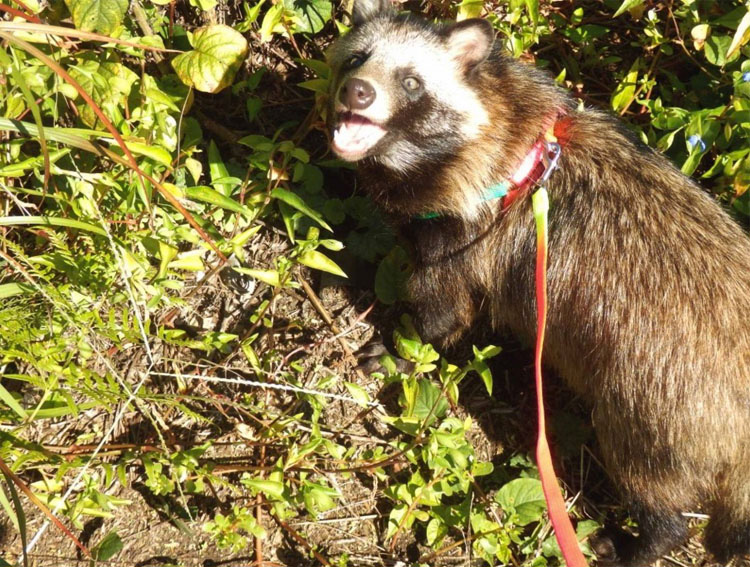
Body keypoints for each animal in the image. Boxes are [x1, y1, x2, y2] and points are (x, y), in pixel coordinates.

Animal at [332, 2, 750, 564]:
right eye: (357, 57)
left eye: (412, 82)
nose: (357, 91)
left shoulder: (466, 239)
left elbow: (442, 315)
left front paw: (402, 348)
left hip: (657, 417)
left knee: (655, 492)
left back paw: (648, 540)